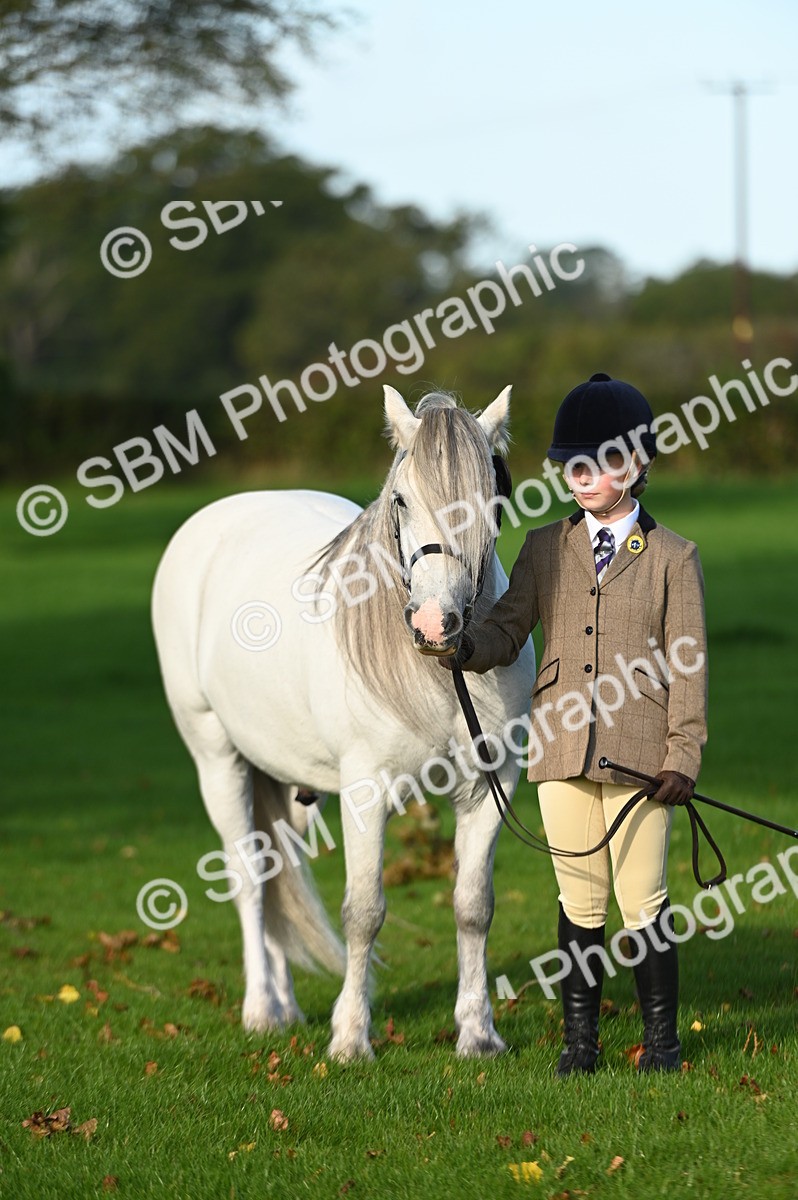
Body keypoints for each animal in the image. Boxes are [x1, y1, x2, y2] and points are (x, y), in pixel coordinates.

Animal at [151, 385, 535, 1059]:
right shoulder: (365, 793)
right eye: (401, 498)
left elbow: (473, 906)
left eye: (492, 495)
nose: (435, 625)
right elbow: (364, 910)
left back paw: (284, 1005)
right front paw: (351, 1038)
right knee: (249, 878)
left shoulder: (491, 788)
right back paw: (261, 1009)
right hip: (217, 759)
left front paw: (478, 1033)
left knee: (275, 867)